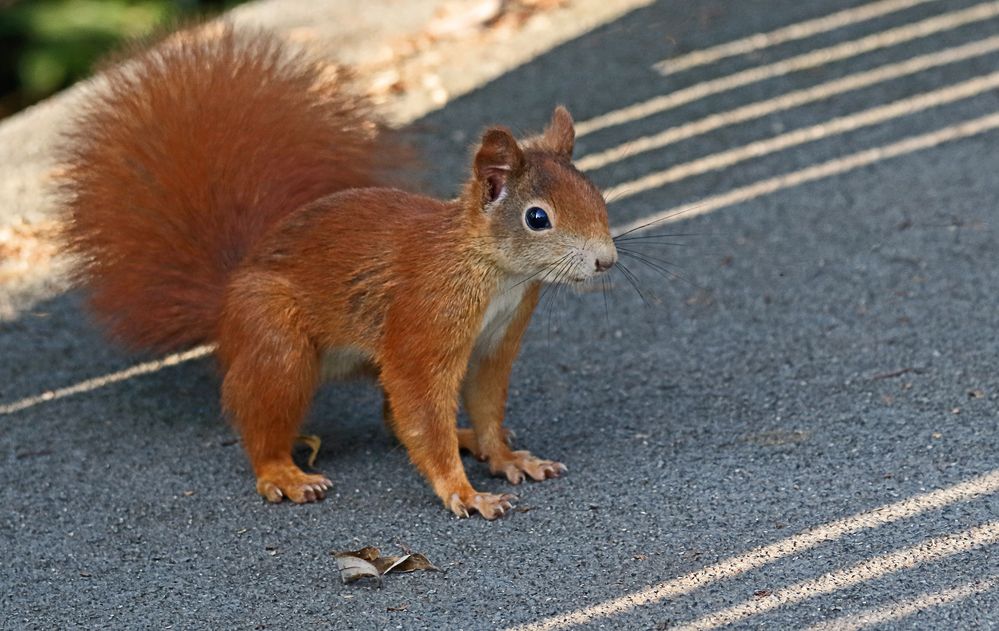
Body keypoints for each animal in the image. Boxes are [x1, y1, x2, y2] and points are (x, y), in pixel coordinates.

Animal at [60, 24, 616, 520]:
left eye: (597, 195)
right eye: (537, 218)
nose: (606, 260)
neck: (495, 274)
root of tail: (224, 303)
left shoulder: (496, 344)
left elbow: (484, 404)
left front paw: (503, 456)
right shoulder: (425, 318)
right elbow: (421, 404)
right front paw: (464, 493)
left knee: (392, 415)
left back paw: (467, 440)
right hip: (276, 340)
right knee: (265, 423)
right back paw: (283, 474)